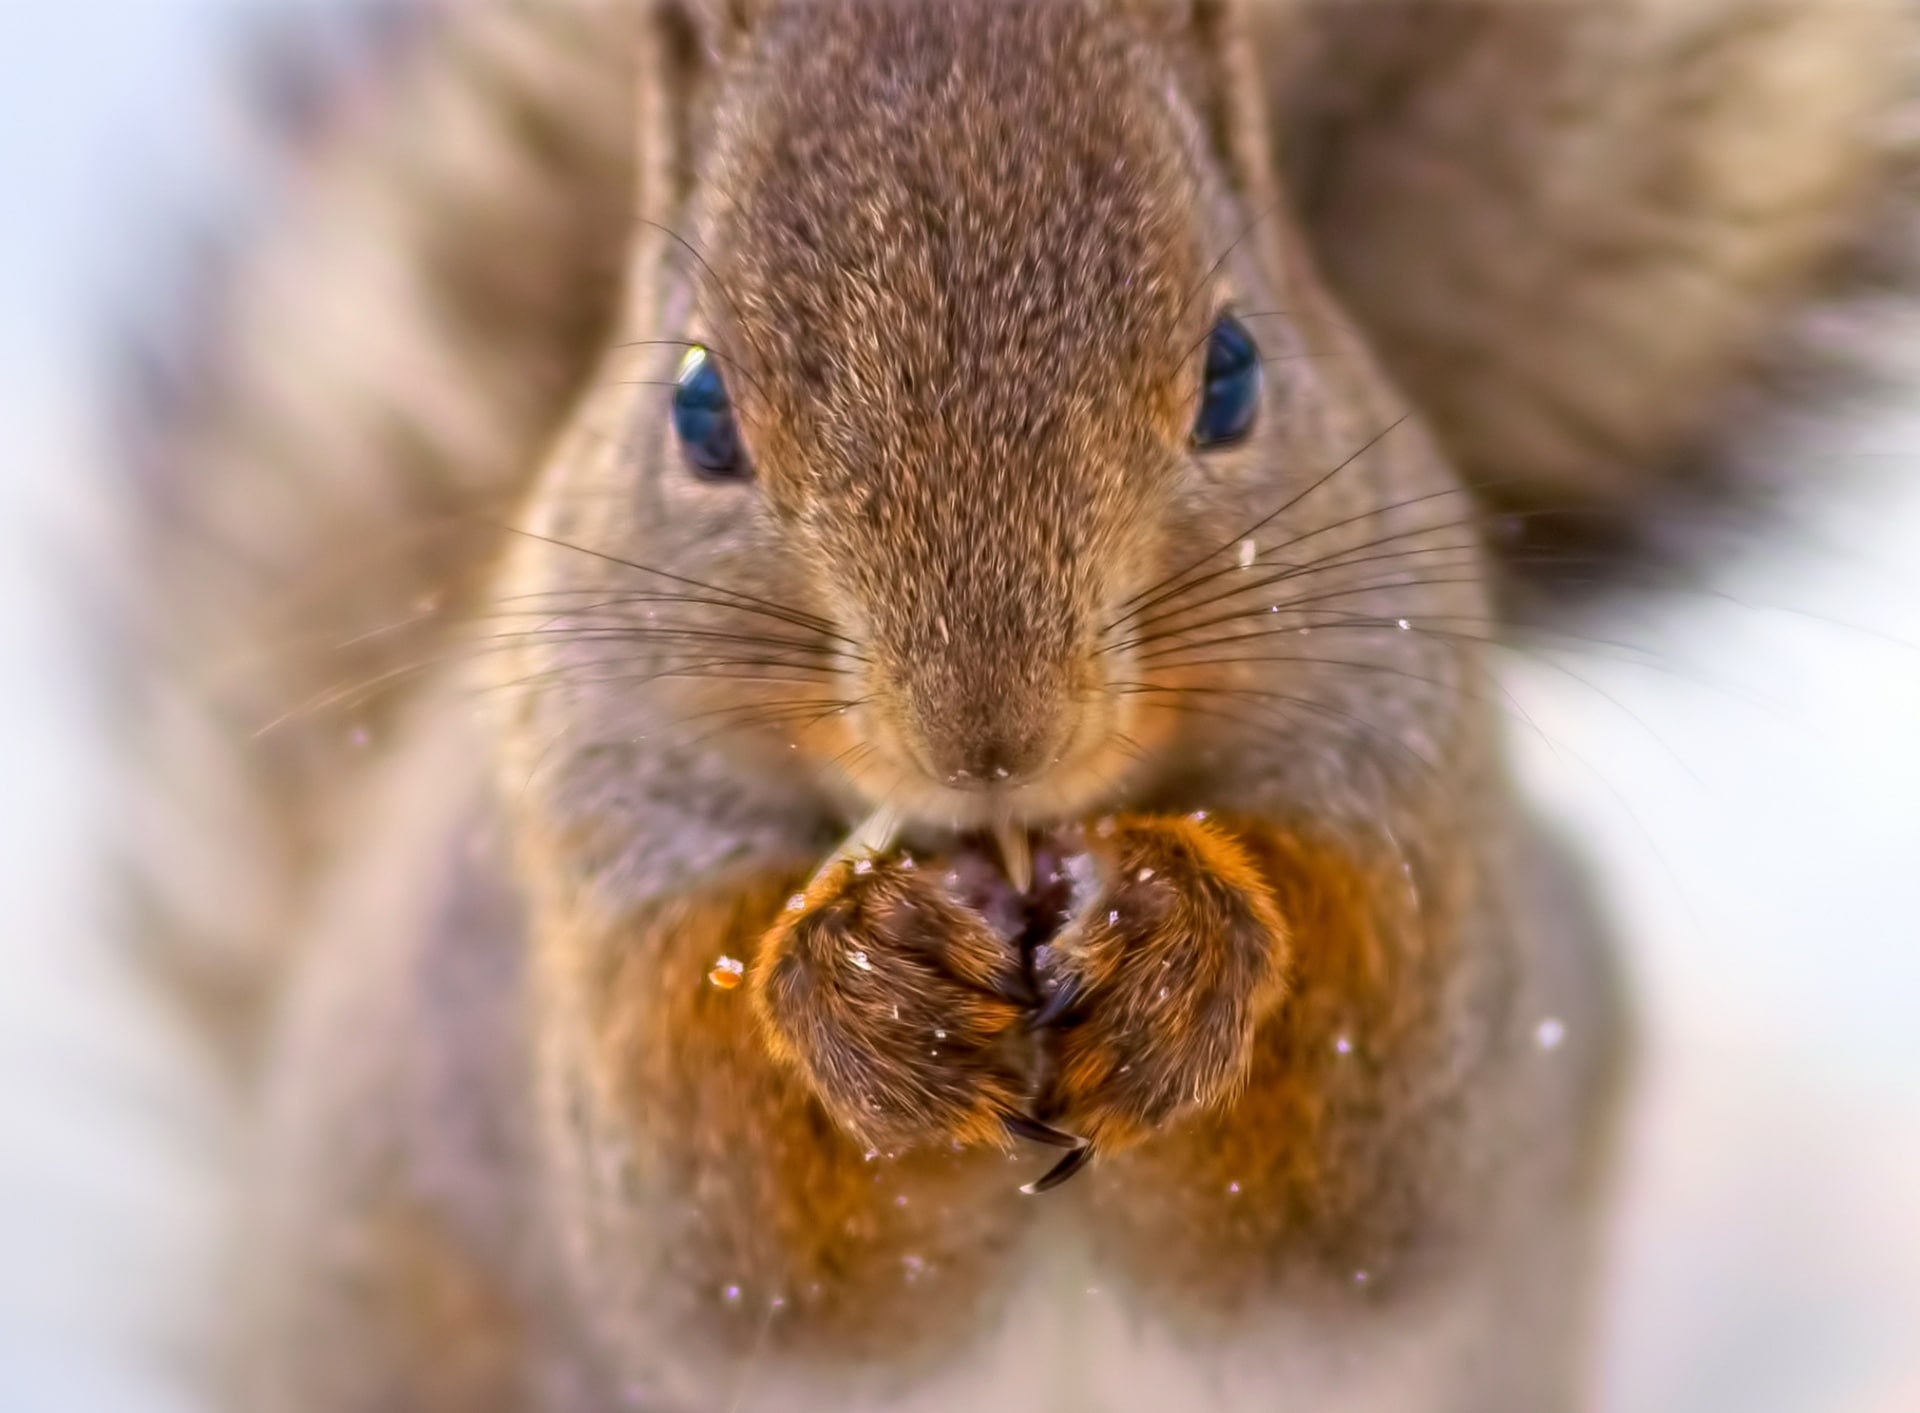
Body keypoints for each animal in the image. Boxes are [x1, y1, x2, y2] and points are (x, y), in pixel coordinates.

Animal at [111, 0, 1916, 1409]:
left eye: (1236, 373)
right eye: (697, 410)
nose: (992, 736)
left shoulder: (1418, 793)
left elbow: (1363, 1132)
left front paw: (1176, 940)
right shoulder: (591, 884)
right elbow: (728, 1210)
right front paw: (876, 986)